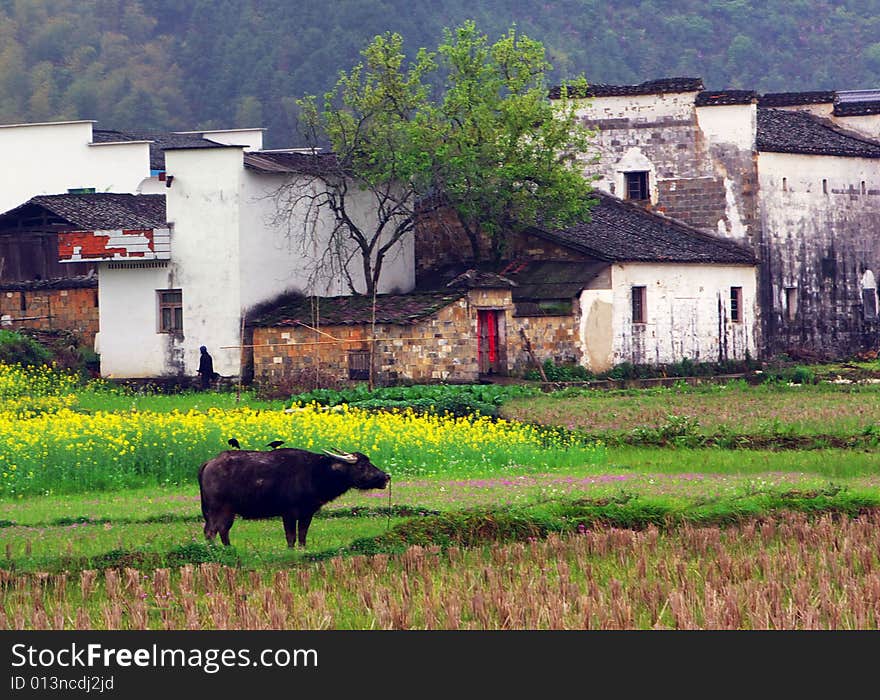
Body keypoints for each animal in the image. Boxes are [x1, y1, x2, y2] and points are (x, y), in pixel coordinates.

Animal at [201, 448, 394, 548]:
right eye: (362, 465)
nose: (386, 476)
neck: (315, 474)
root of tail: (210, 463)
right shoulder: (288, 513)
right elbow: (291, 536)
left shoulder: (307, 513)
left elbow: (302, 534)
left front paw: (302, 549)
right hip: (216, 508)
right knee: (211, 531)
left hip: (229, 511)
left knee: (223, 529)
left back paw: (228, 548)